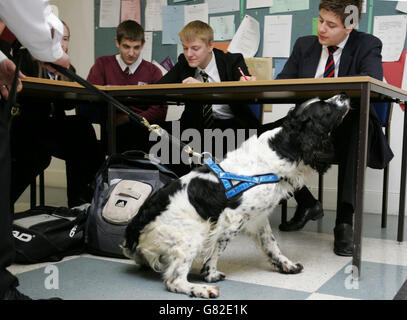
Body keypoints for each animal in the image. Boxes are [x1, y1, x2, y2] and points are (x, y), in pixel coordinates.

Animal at [121, 92, 350, 298]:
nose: (345, 95)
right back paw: (201, 289)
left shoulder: (259, 217)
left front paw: (287, 265)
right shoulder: (233, 218)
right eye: (326, 108)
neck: (278, 152)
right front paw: (210, 274)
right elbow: (218, 247)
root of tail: (134, 229)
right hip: (192, 235)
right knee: (174, 280)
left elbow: (271, 244)